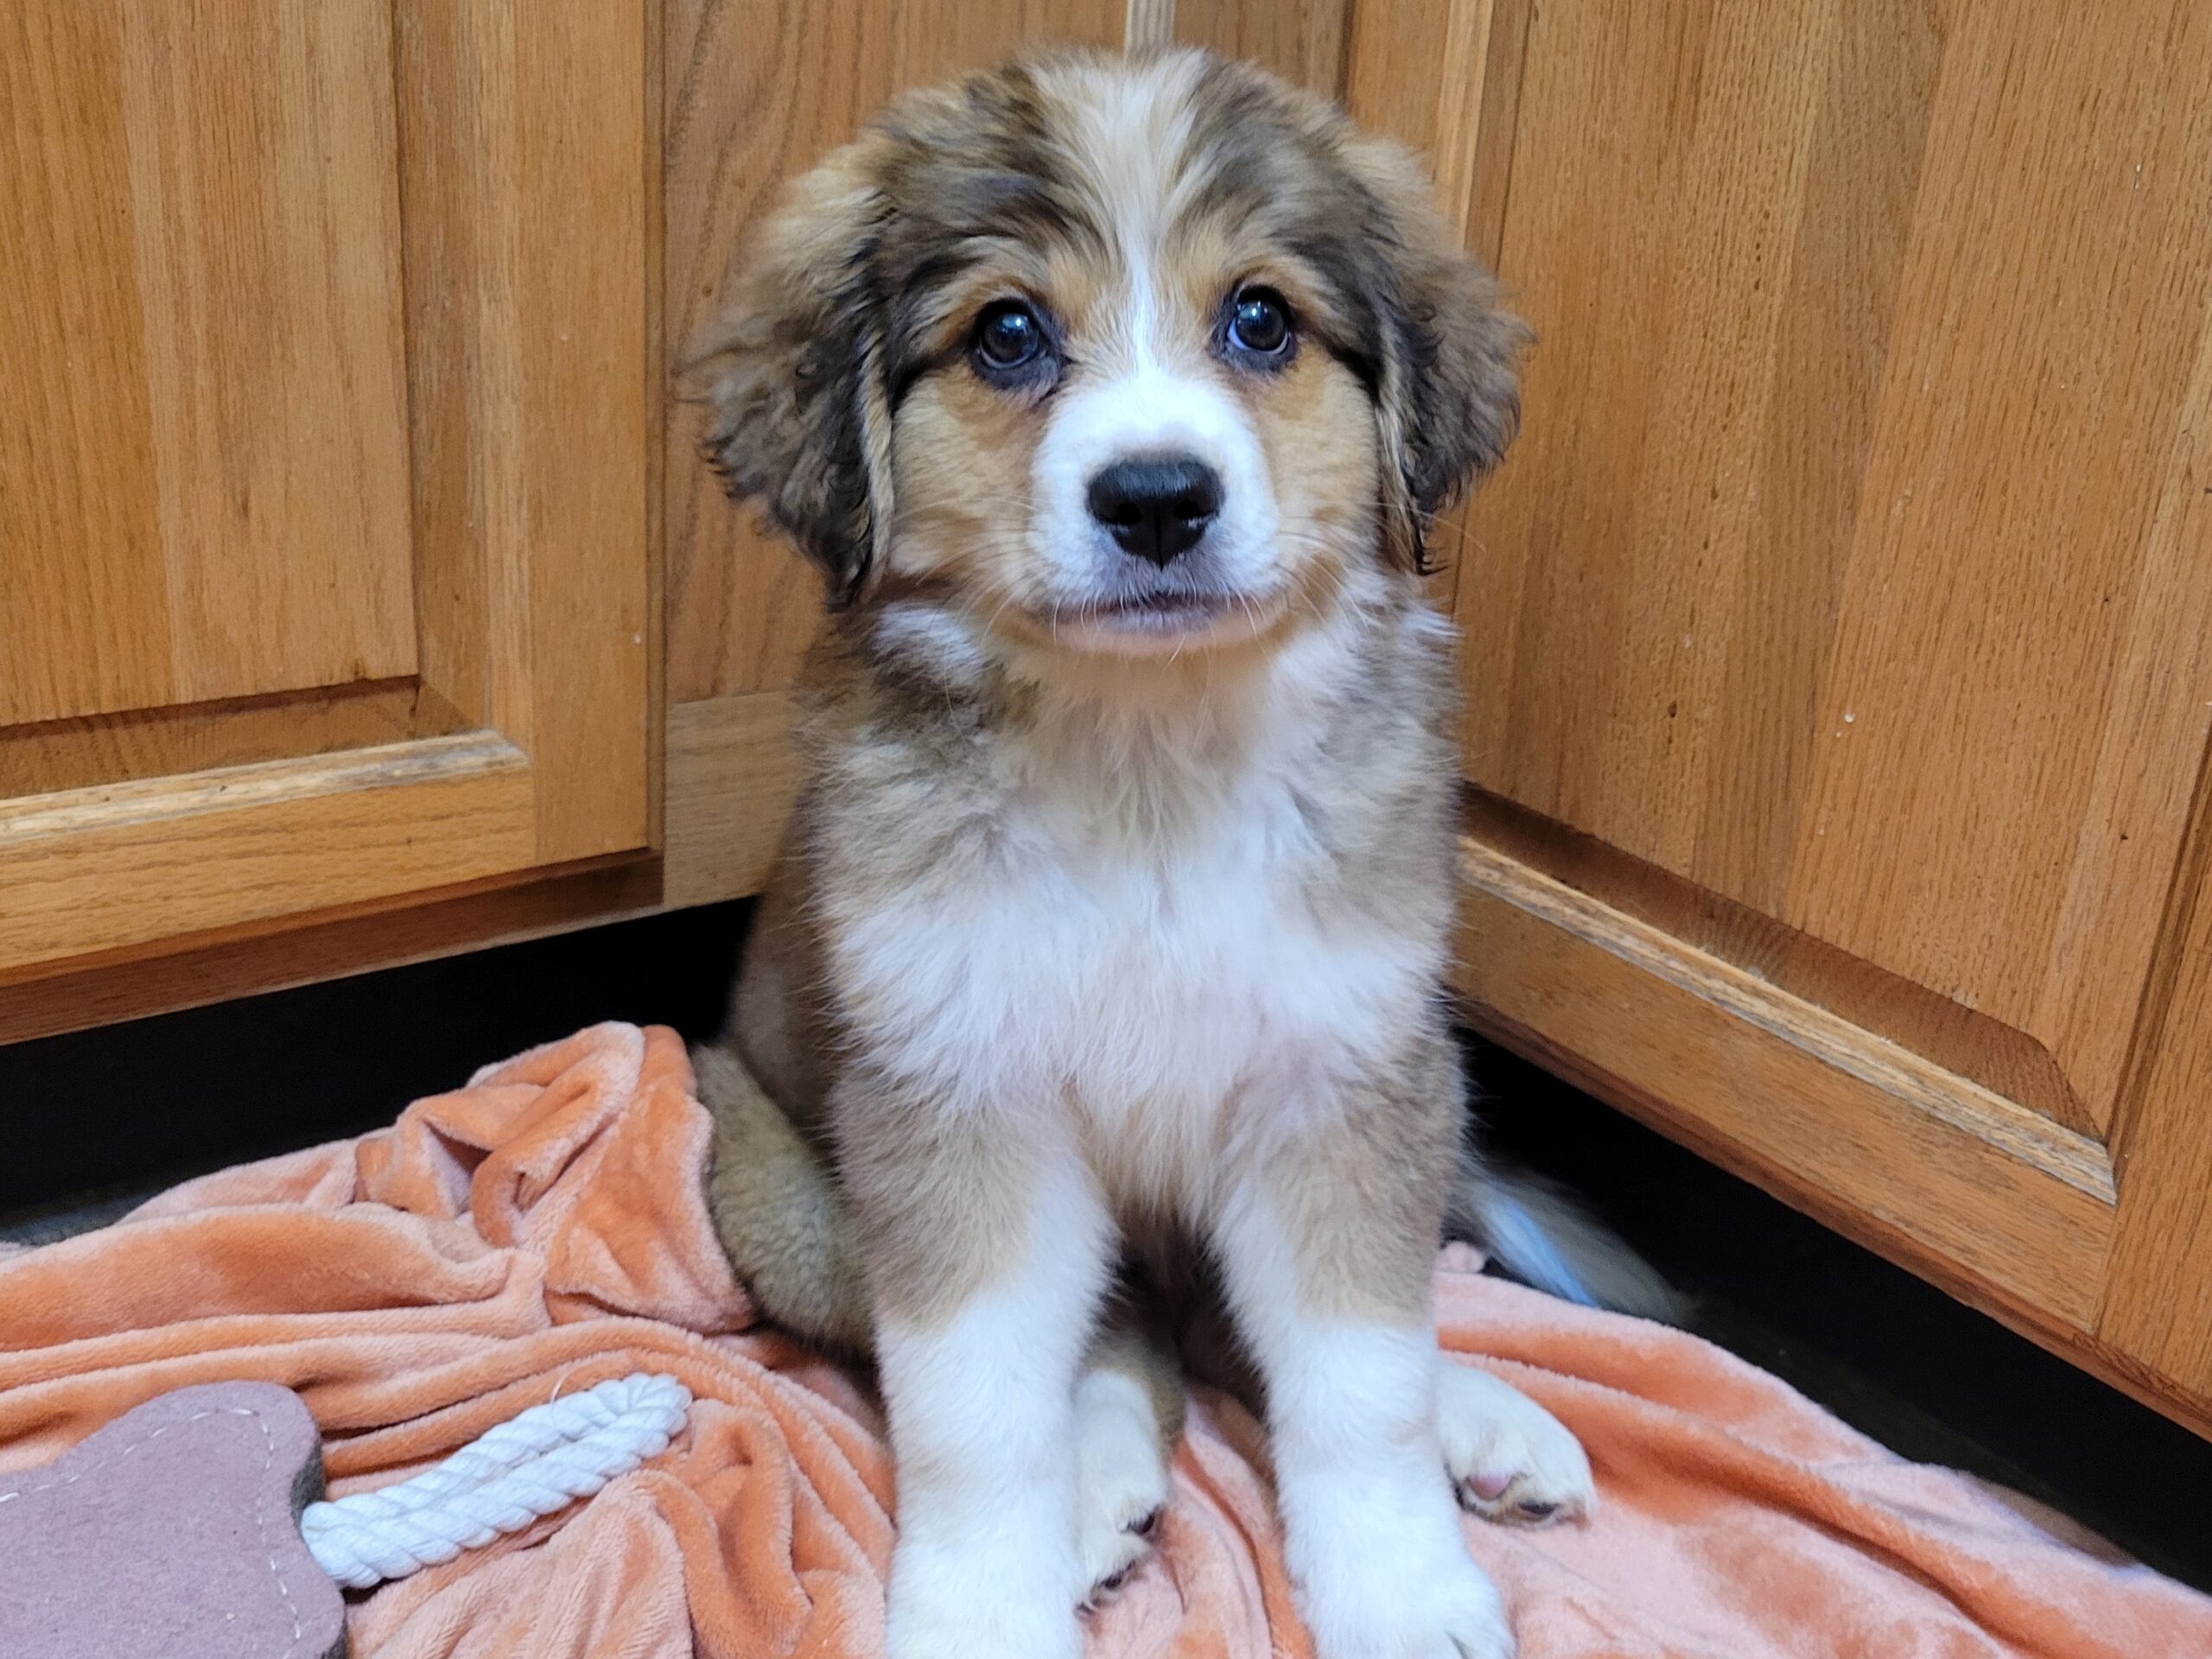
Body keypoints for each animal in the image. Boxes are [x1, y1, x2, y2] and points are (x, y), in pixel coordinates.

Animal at [685, 48, 1663, 1659]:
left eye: (1260, 320)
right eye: (1008, 335)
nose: (1156, 499)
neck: (1145, 757)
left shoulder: (1345, 1077)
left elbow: (1360, 1376)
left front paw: (1402, 1582)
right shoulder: (963, 1103)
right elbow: (971, 1415)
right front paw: (981, 1609)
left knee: (1230, 1321)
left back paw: (1480, 1421)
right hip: (787, 1198)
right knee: (1121, 1330)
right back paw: (1099, 1486)